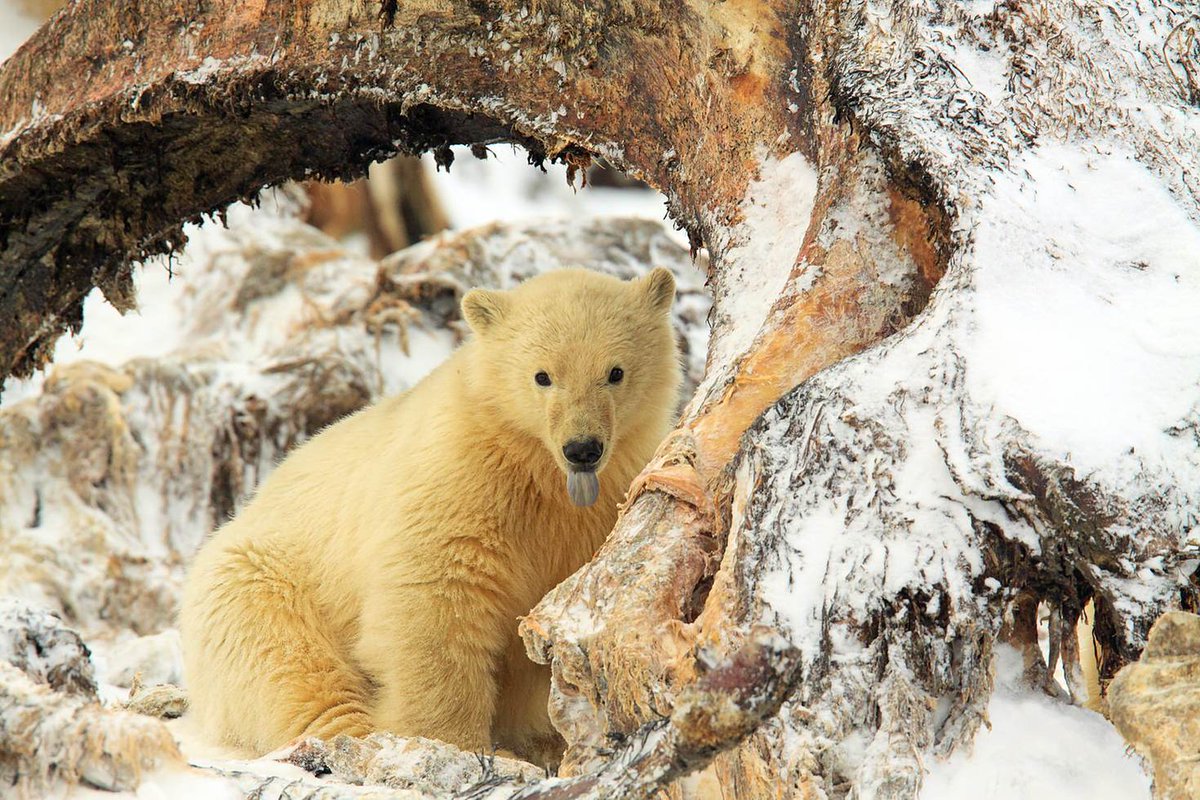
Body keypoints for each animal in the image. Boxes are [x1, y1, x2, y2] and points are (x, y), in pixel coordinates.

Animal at [179, 266, 682, 766]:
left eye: (615, 372)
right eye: (542, 375)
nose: (582, 449)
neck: (535, 470)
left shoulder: (605, 500)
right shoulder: (458, 482)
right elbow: (435, 599)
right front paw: (452, 742)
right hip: (261, 582)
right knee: (289, 664)